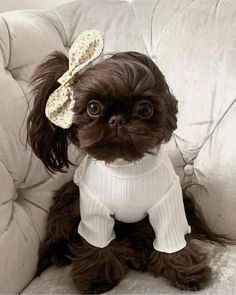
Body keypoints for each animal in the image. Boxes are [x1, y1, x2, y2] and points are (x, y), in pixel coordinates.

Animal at [25, 49, 227, 294]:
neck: (126, 168)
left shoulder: (168, 205)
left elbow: (172, 241)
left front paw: (185, 271)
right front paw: (97, 277)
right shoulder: (94, 210)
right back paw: (59, 252)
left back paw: (138, 253)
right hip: (71, 201)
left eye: (145, 109)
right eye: (93, 108)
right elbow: (97, 244)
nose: (118, 119)